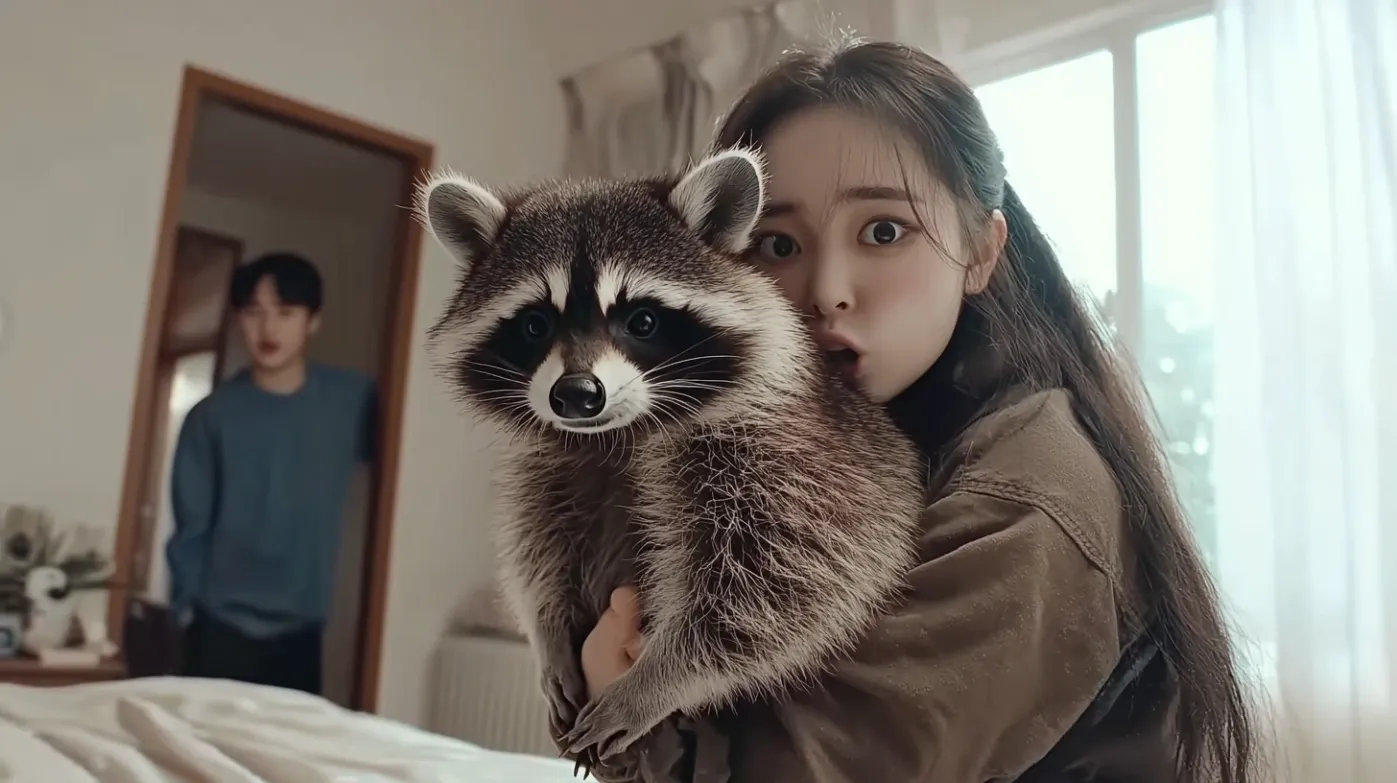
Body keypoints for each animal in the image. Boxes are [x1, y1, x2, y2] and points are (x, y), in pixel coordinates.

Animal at [418, 148, 926, 764]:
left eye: (642, 320)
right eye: (535, 324)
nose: (577, 395)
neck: (619, 433)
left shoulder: (800, 461)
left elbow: (786, 587)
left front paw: (660, 678)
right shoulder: (552, 465)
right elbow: (539, 544)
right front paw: (548, 628)